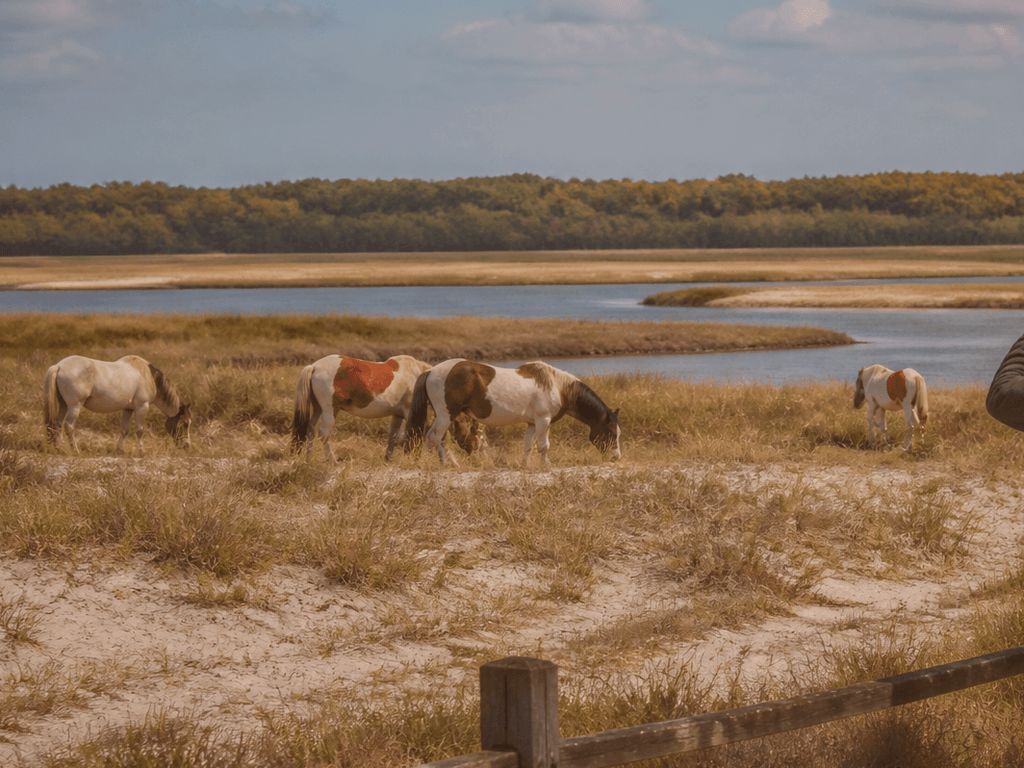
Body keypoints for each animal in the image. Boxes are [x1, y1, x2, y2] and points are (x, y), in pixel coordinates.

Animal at [43, 355, 192, 453]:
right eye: (185, 423)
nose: (187, 445)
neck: (149, 376)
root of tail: (58, 366)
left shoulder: (128, 409)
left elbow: (125, 430)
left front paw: (119, 449)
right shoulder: (142, 407)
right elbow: (140, 431)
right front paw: (141, 450)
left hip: (64, 405)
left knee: (57, 424)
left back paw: (59, 448)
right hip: (75, 406)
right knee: (69, 426)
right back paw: (75, 450)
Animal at [290, 354, 484, 461]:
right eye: (475, 429)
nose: (476, 454)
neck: (420, 377)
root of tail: (314, 366)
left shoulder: (397, 415)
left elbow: (392, 437)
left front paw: (388, 459)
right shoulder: (410, 413)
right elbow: (410, 437)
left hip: (317, 408)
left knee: (310, 429)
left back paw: (308, 457)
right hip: (330, 410)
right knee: (324, 433)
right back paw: (332, 460)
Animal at [408, 358, 621, 467]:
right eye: (610, 432)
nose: (616, 457)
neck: (558, 386)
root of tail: (431, 371)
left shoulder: (533, 423)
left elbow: (527, 446)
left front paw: (524, 466)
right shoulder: (544, 421)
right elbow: (543, 447)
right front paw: (547, 467)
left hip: (444, 417)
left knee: (439, 438)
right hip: (446, 415)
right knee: (433, 437)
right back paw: (435, 464)